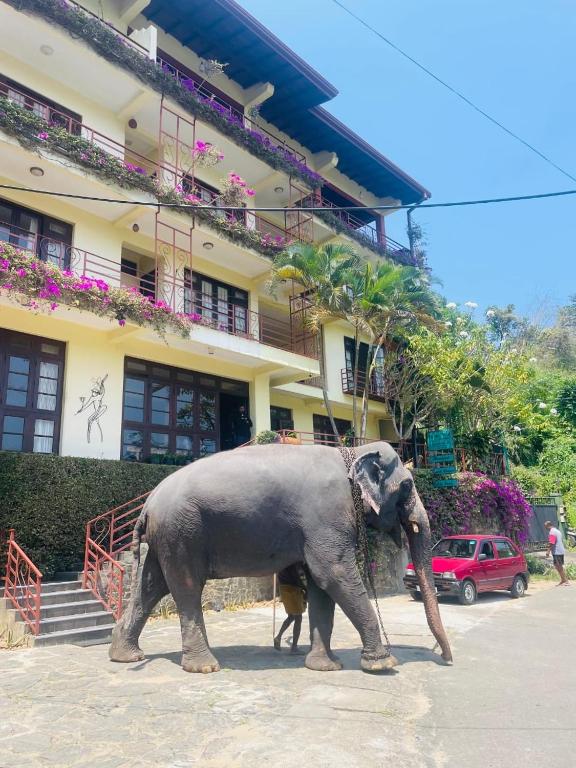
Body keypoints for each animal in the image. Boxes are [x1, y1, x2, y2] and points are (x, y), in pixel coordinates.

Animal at [109, 441, 453, 673]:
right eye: (407, 485)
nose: (446, 658)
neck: (353, 451)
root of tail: (147, 503)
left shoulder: (318, 526)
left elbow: (320, 585)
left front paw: (324, 666)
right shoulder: (327, 515)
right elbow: (333, 573)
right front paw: (383, 664)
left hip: (165, 536)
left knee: (151, 587)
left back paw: (125, 656)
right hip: (182, 531)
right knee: (186, 587)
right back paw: (204, 666)